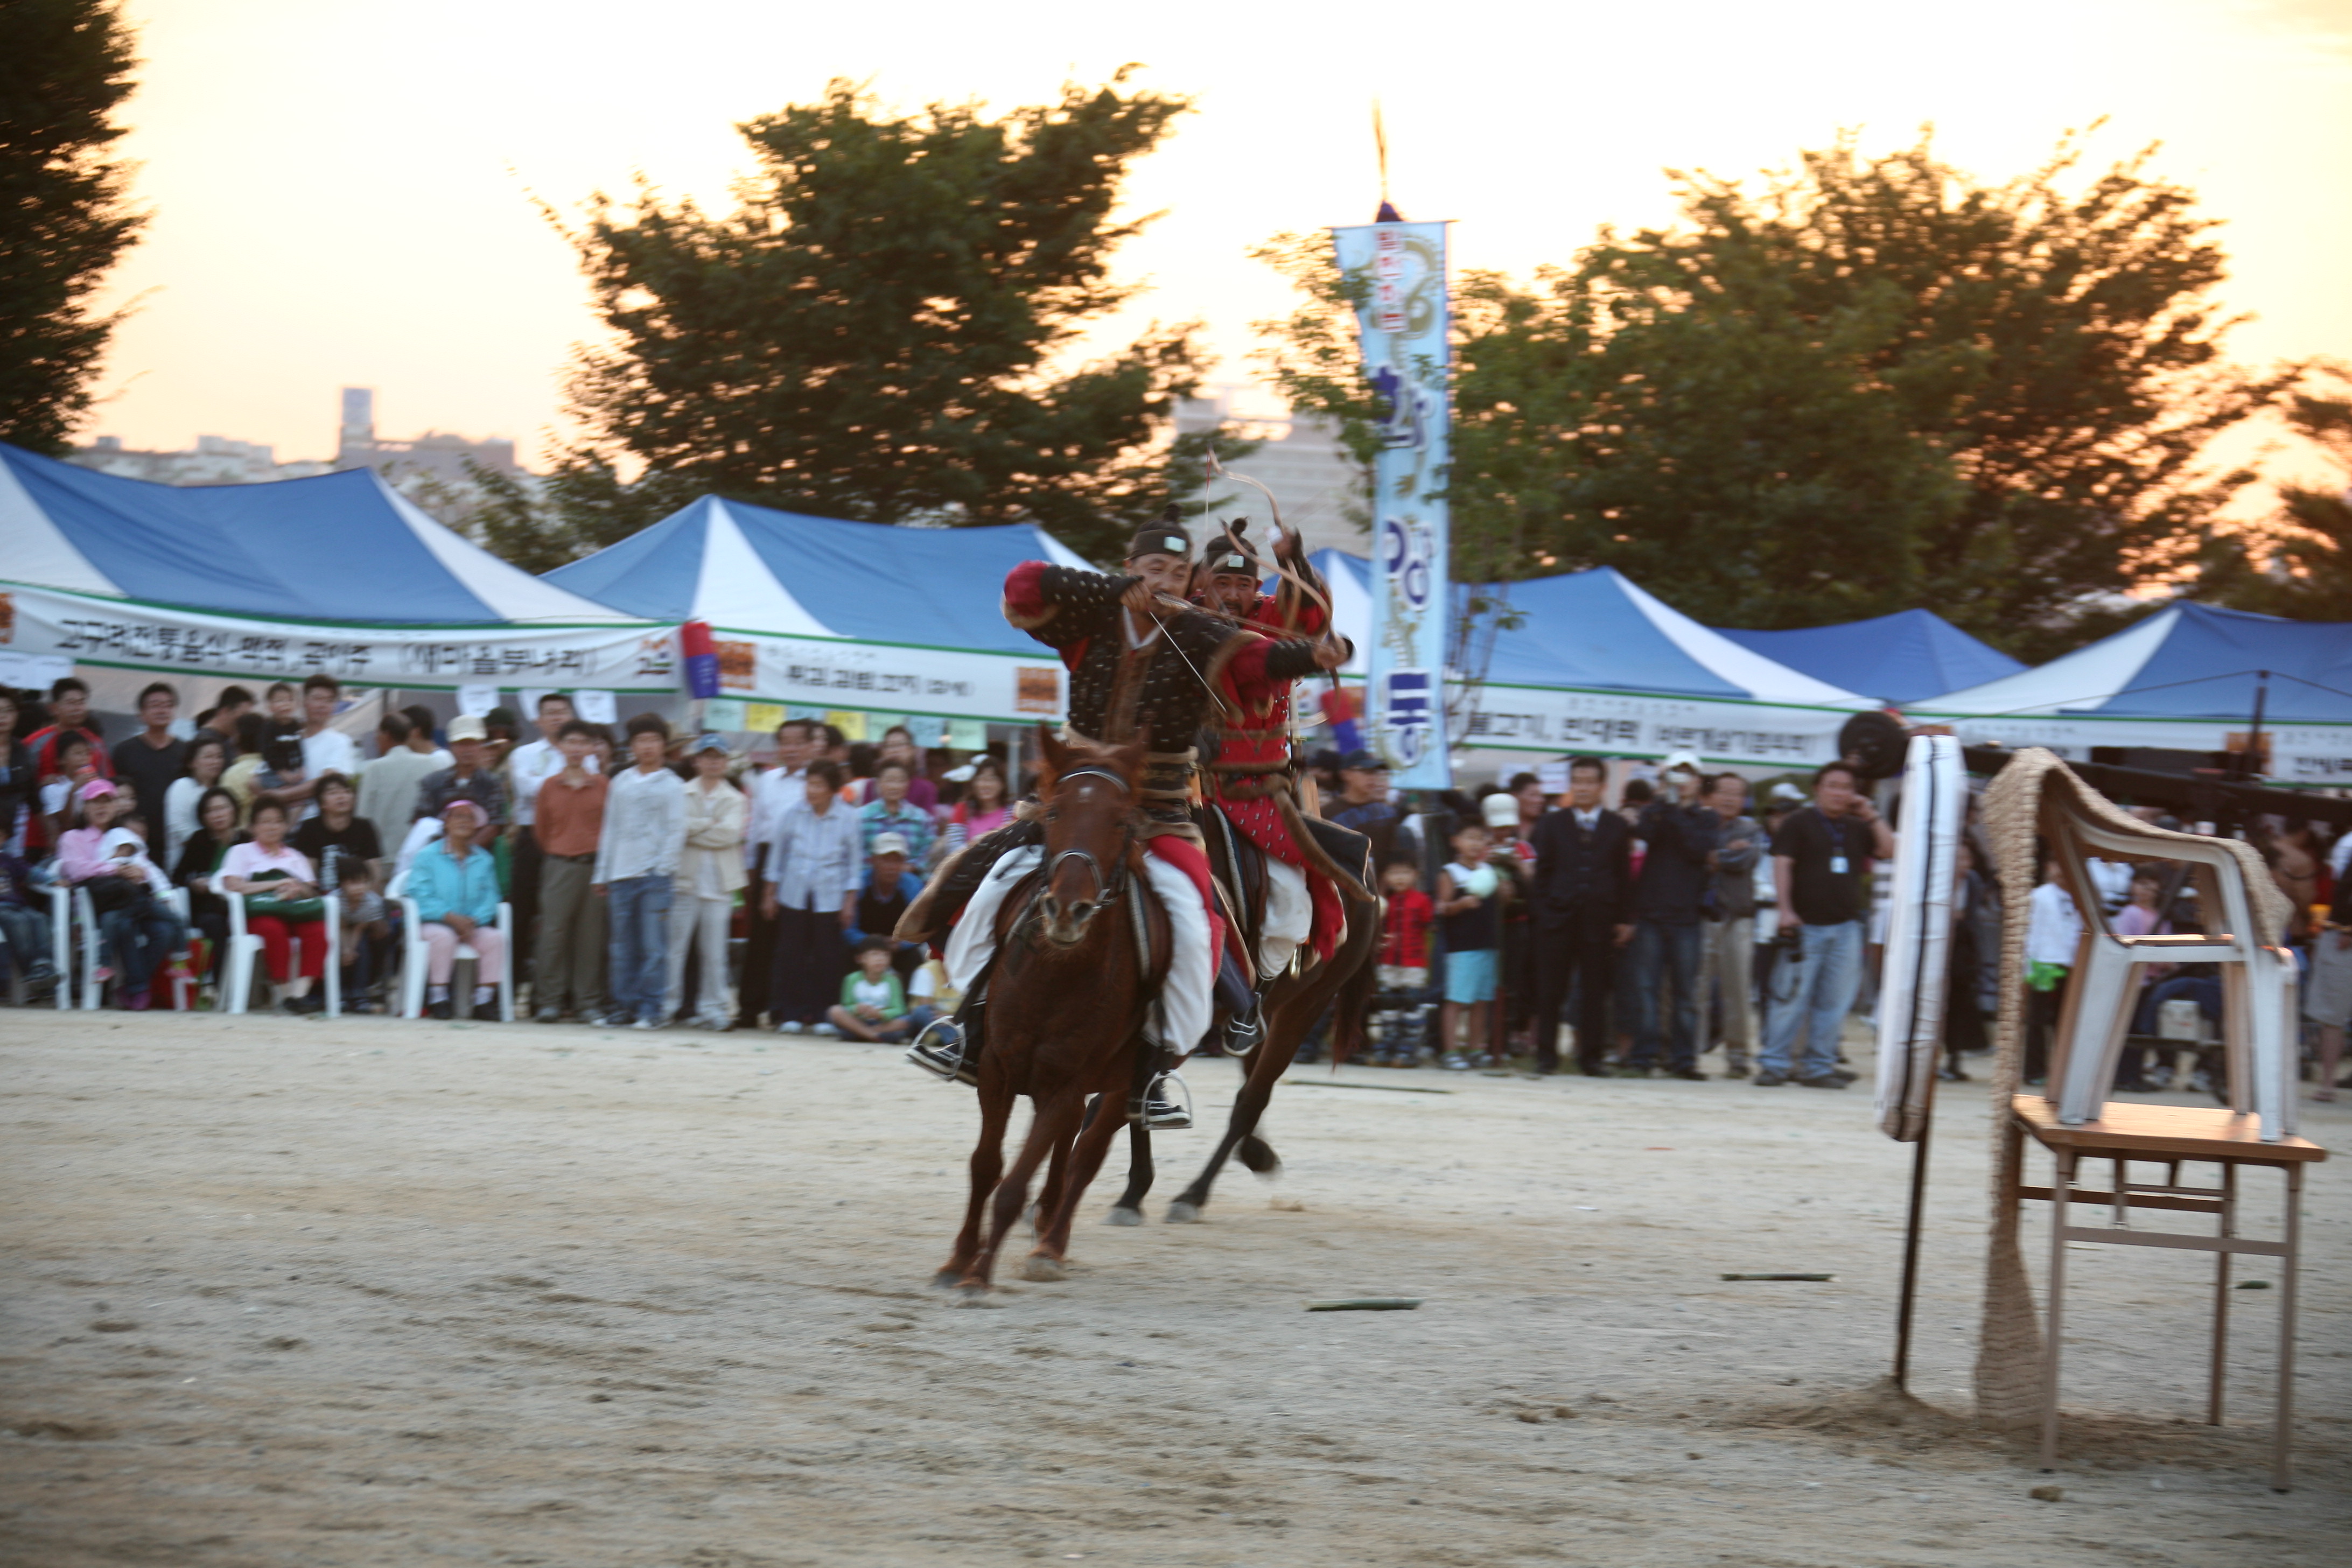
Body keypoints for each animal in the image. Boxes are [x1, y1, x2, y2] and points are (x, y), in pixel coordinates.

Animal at [926, 738, 1166, 1297]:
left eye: (1121, 822)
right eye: (1054, 812)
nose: (1067, 910)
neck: (1057, 974)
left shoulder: (1067, 1082)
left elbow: (1016, 1182)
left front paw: (979, 1274)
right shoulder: (996, 1069)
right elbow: (986, 1166)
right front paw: (958, 1260)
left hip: (1119, 1077)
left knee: (1087, 1151)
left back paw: (1051, 1245)